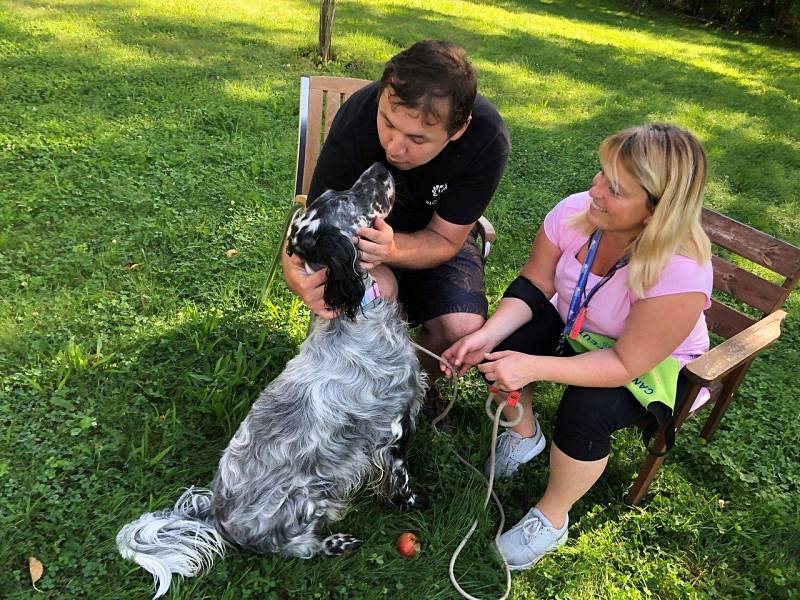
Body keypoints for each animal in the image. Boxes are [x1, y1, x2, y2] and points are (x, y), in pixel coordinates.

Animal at [116, 162, 428, 596]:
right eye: (348, 199)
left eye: (336, 192)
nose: (382, 166)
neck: (354, 316)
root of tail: (216, 514)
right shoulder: (395, 427)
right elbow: (400, 479)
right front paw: (414, 504)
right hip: (305, 498)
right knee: (295, 548)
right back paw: (335, 542)